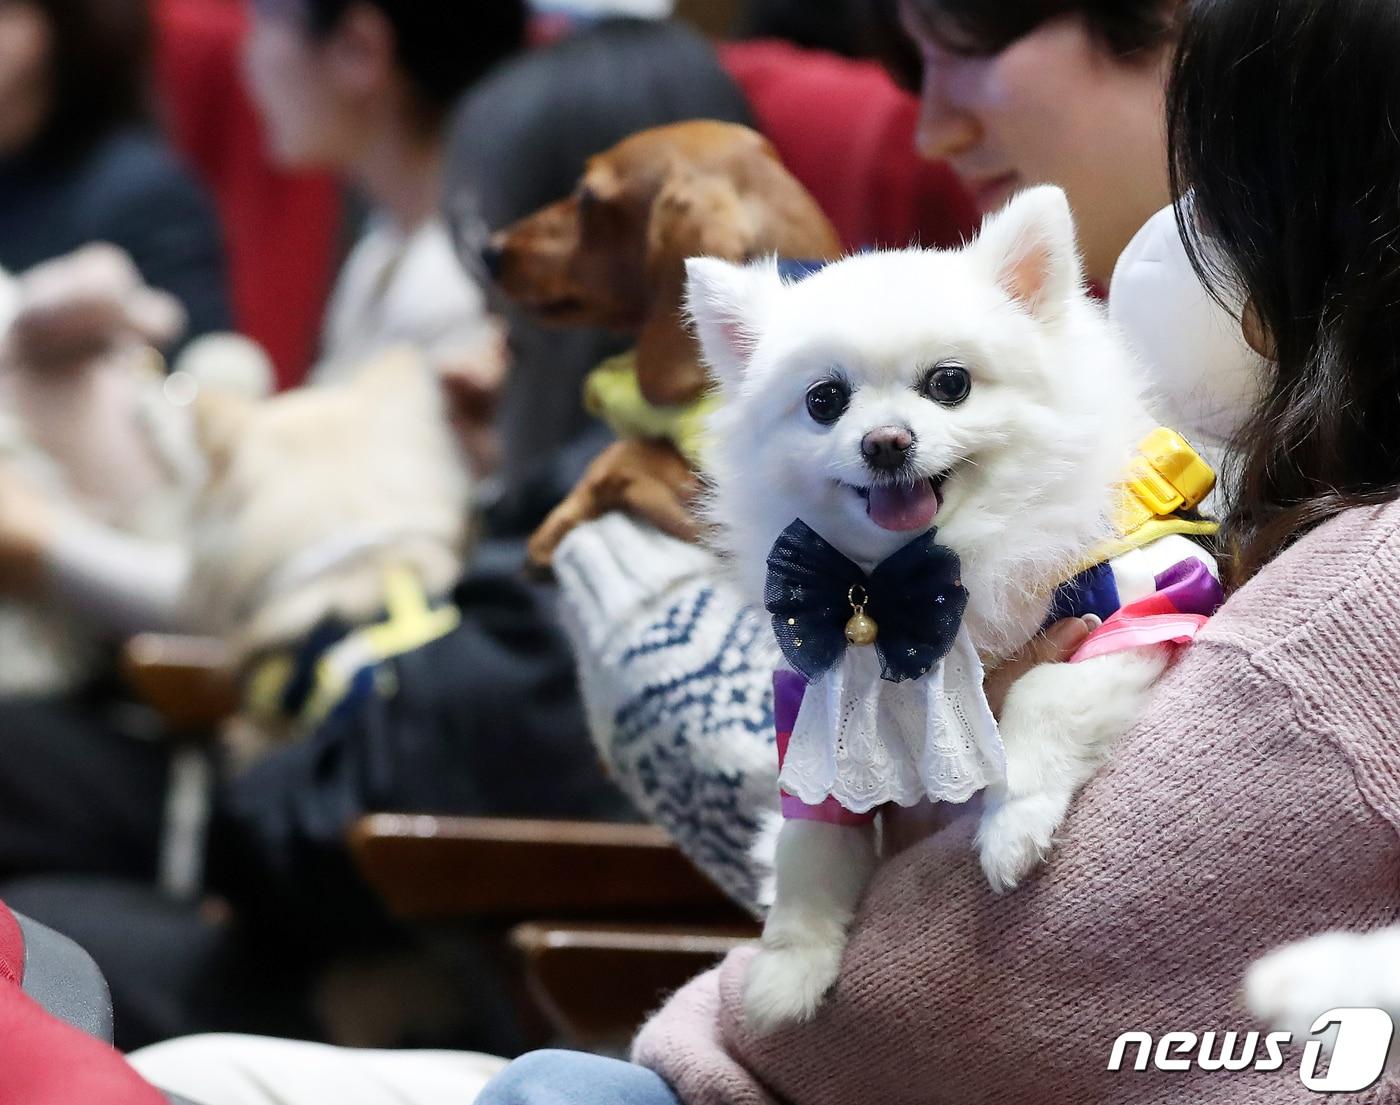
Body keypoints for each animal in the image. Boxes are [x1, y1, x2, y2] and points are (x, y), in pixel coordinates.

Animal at [683, 187, 1187, 1025]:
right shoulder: (811, 699)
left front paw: (1014, 821)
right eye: (824, 400)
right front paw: (790, 964)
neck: (918, 571)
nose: (886, 440)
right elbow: (810, 838)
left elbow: (1046, 694)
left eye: (951, 383)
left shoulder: (1137, 607)